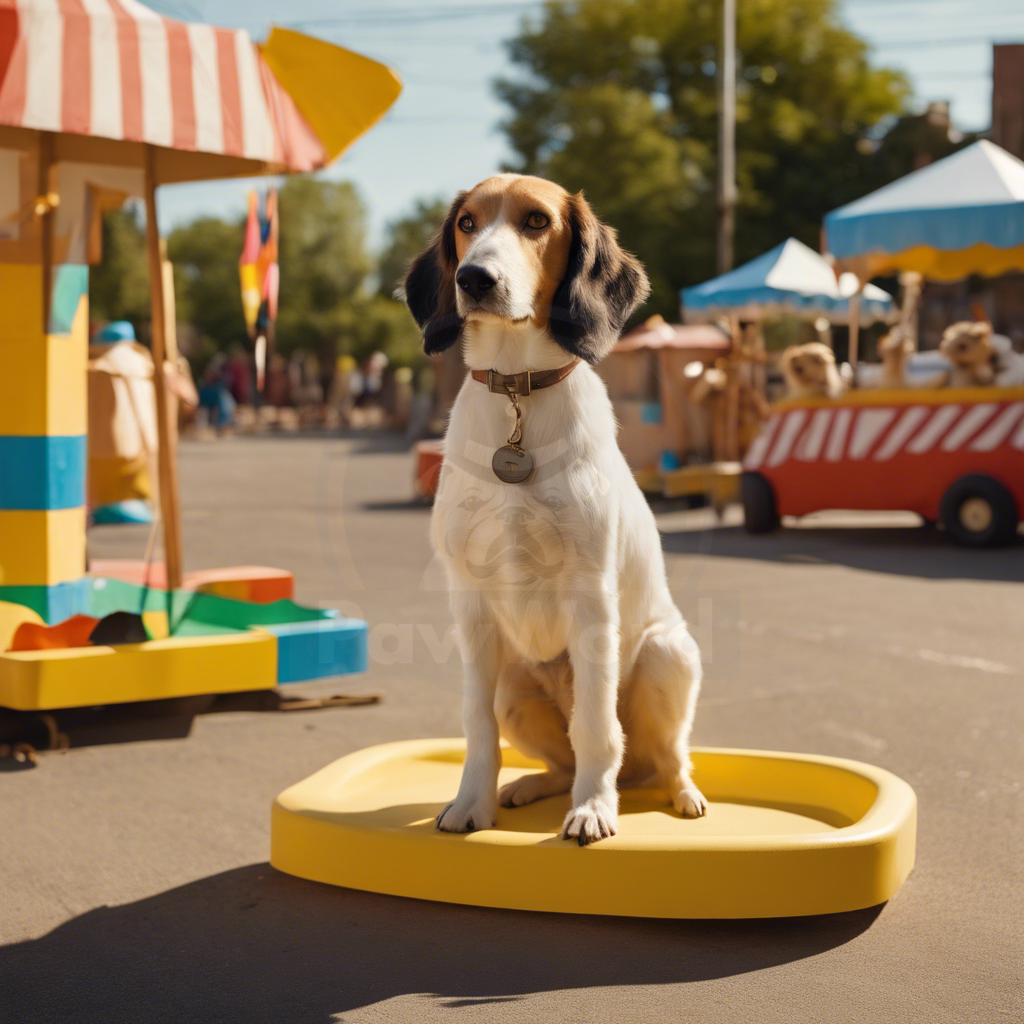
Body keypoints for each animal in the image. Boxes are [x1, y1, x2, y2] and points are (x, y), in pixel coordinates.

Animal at [403, 176, 708, 843]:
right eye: (466, 223)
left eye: (537, 221)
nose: (473, 278)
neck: (518, 392)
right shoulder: (469, 604)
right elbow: (477, 728)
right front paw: (472, 802)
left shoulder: (590, 593)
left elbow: (595, 723)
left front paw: (593, 807)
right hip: (514, 682)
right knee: (560, 757)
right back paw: (530, 786)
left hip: (668, 655)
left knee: (664, 755)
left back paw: (676, 793)